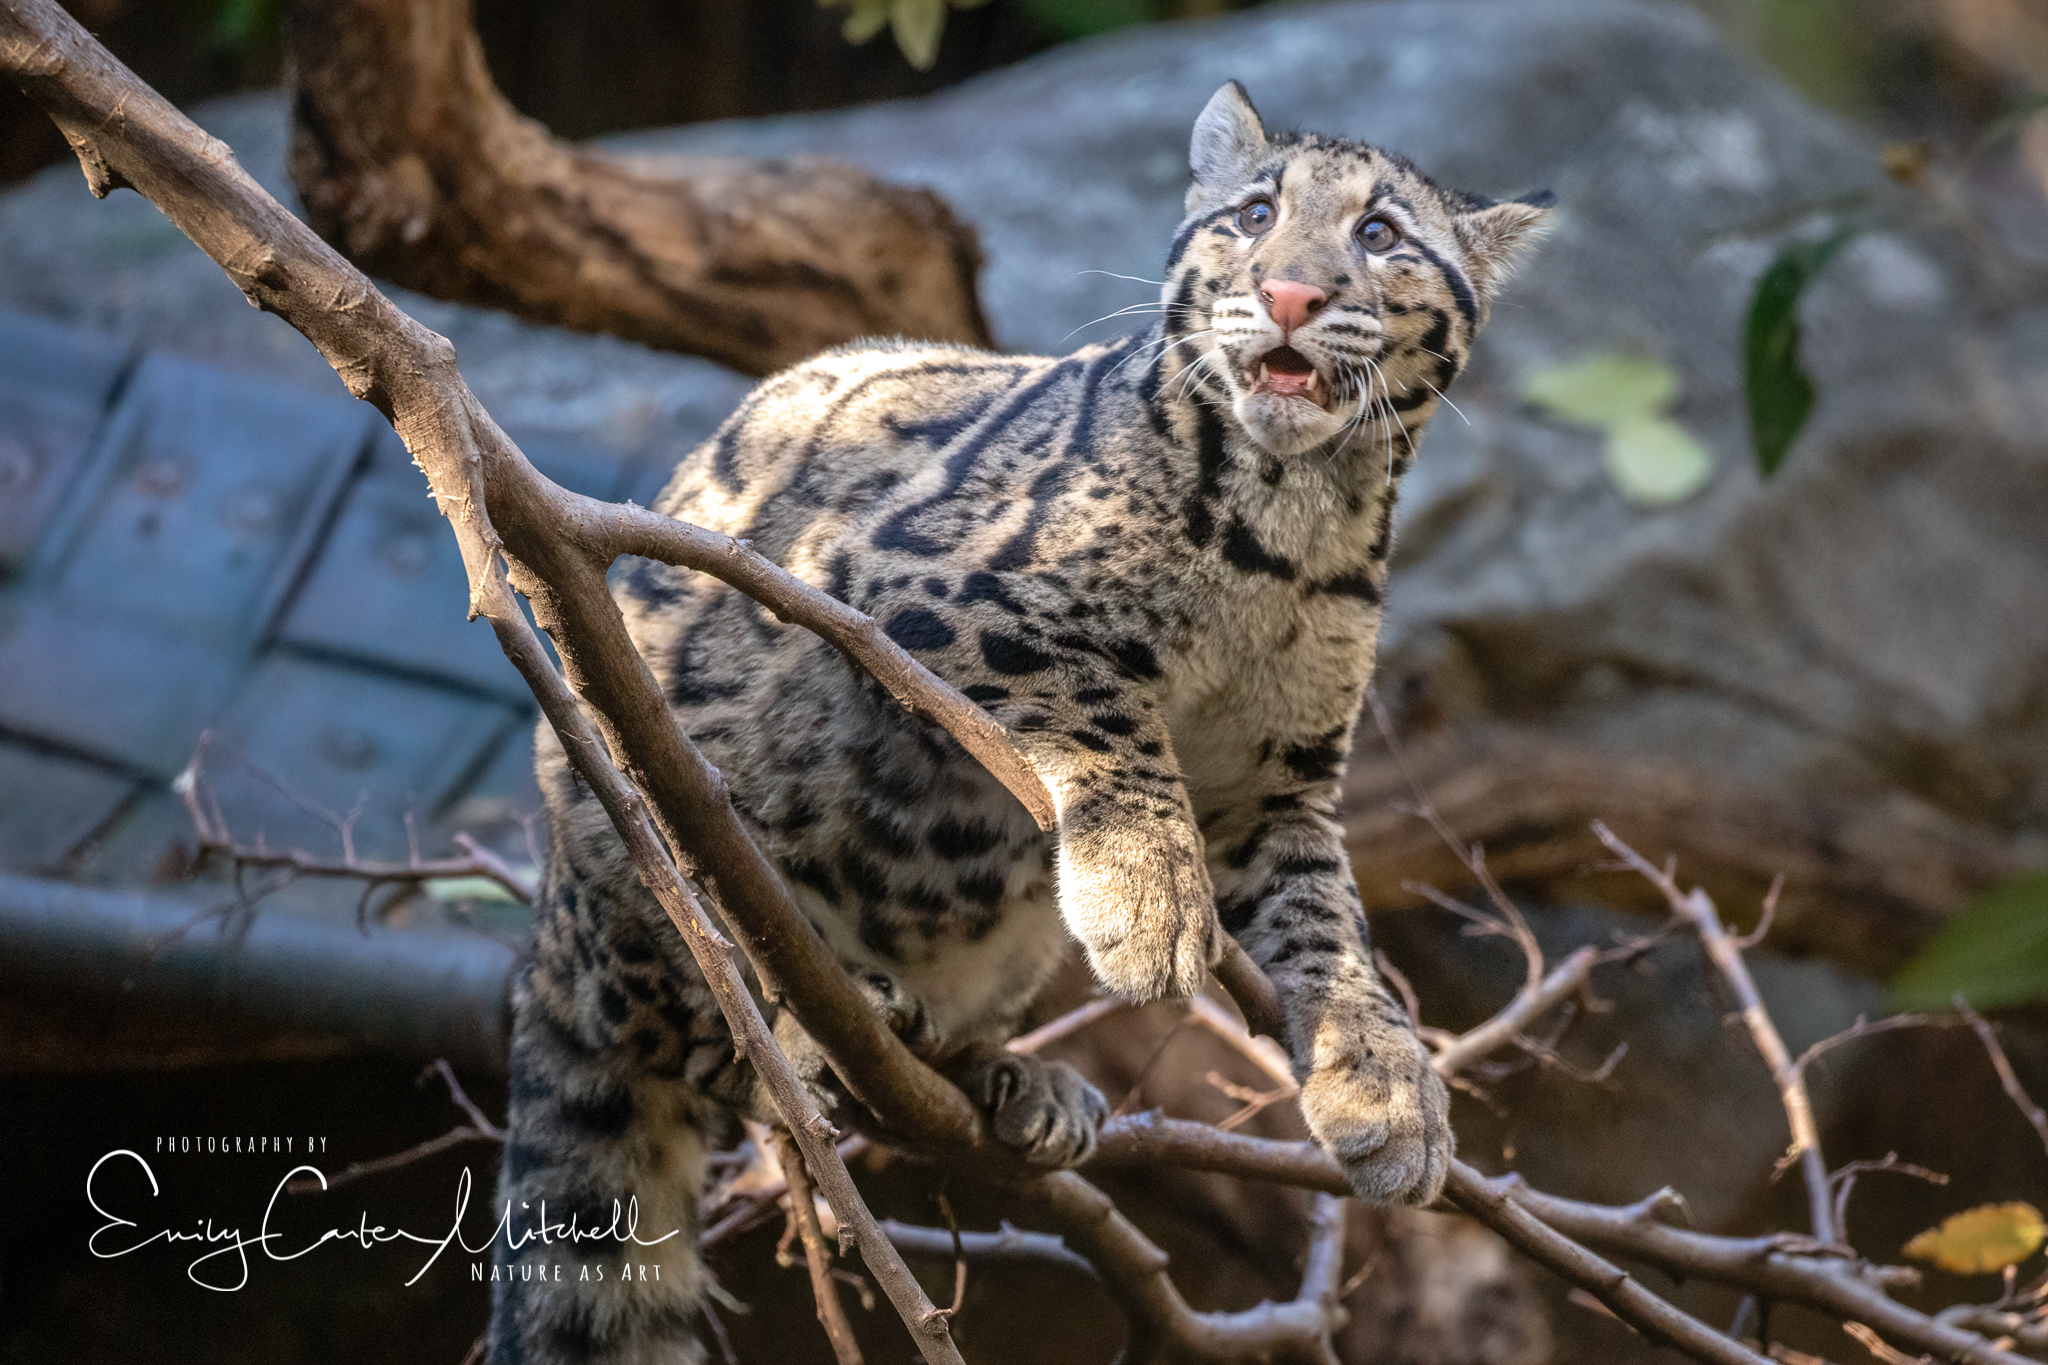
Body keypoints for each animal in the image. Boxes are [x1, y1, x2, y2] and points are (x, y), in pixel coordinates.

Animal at [488, 80, 1550, 1364]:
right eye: (1253, 213)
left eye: (1380, 234)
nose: (1292, 293)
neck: (1294, 523)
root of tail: (551, 934)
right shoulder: (916, 587)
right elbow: (1106, 710)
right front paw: (1150, 902)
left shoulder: (1283, 779)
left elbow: (1326, 924)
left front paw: (1382, 1085)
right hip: (640, 830)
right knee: (693, 1007)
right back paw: (812, 1014)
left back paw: (1015, 1081)